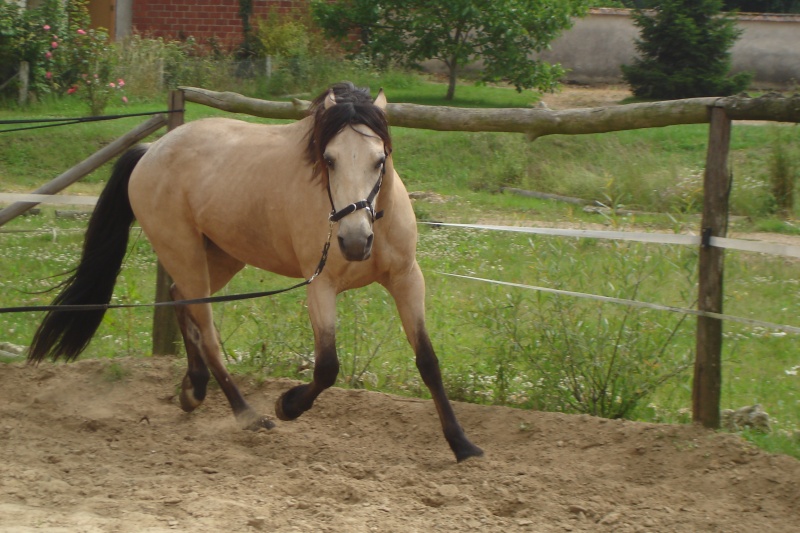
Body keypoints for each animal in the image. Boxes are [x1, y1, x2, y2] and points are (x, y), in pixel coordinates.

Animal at [28, 82, 484, 462]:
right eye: (329, 159)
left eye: (379, 159)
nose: (355, 242)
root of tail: (151, 151)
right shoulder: (320, 287)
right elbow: (327, 367)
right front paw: (287, 406)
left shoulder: (407, 279)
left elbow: (428, 361)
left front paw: (462, 445)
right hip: (183, 250)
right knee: (206, 329)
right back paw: (247, 414)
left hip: (221, 255)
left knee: (180, 299)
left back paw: (193, 391)